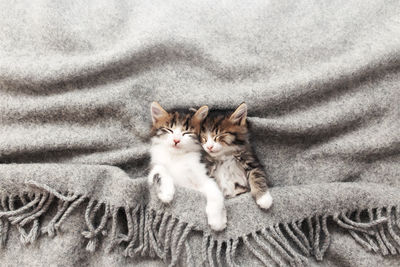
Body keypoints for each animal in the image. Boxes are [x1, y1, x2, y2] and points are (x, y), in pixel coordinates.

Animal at [148, 102, 228, 232]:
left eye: (187, 132)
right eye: (169, 130)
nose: (176, 140)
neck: (177, 156)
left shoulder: (204, 174)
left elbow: (215, 192)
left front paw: (218, 220)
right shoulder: (154, 166)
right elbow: (160, 170)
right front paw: (166, 193)